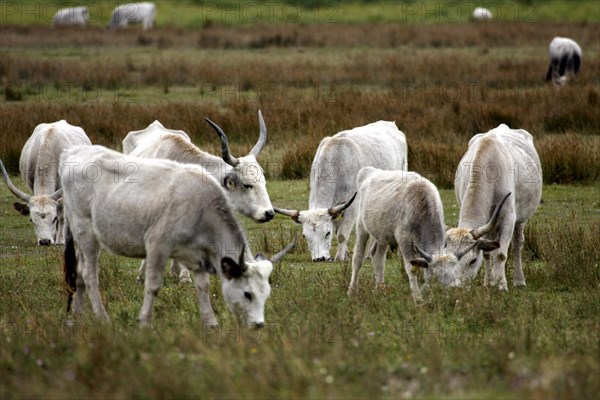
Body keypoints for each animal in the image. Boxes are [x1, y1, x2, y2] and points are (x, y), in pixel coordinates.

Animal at [59, 145, 276, 326]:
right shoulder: (157, 246)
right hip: (86, 234)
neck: (203, 206)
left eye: (266, 294)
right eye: (248, 294)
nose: (258, 324)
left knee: (79, 272)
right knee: (89, 274)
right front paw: (145, 322)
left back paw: (78, 316)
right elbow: (153, 285)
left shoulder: (197, 255)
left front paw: (210, 323)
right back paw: (103, 318)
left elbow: (203, 286)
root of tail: (73, 152)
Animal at [274, 119, 406, 262]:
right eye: (304, 235)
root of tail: (390, 124)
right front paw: (346, 254)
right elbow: (338, 230)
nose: (319, 259)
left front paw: (340, 257)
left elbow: (342, 234)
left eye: (327, 233)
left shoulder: (352, 206)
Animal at [346, 167, 506, 302]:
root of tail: (370, 171)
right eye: (434, 277)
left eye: (451, 276)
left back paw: (380, 288)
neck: (421, 204)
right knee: (358, 258)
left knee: (378, 256)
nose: (444, 297)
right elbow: (411, 268)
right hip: (361, 227)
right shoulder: (404, 240)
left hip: (382, 234)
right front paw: (417, 298)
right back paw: (352, 290)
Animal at [446, 123, 544, 290]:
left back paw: (519, 280)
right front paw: (489, 282)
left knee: (518, 243)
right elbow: (487, 253)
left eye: (472, 260)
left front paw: (502, 285)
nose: (456, 287)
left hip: (521, 220)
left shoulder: (509, 218)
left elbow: (501, 254)